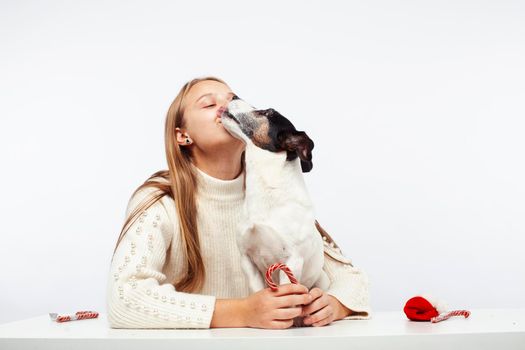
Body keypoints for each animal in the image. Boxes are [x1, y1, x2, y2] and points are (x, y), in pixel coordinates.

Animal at [220, 96, 328, 296]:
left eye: (267, 112)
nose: (233, 96)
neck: (269, 189)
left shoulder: (293, 261)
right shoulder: (246, 259)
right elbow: (256, 290)